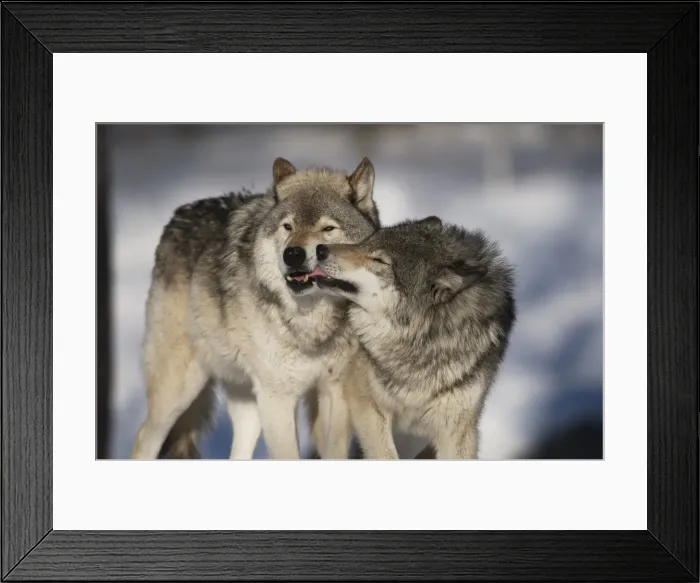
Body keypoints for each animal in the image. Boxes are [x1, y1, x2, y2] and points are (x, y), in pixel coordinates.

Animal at [131, 156, 379, 460]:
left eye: (328, 229)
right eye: (287, 227)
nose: (293, 254)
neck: (312, 323)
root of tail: (180, 214)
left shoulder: (334, 393)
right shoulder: (278, 397)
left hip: (249, 405)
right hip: (179, 389)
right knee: (144, 438)